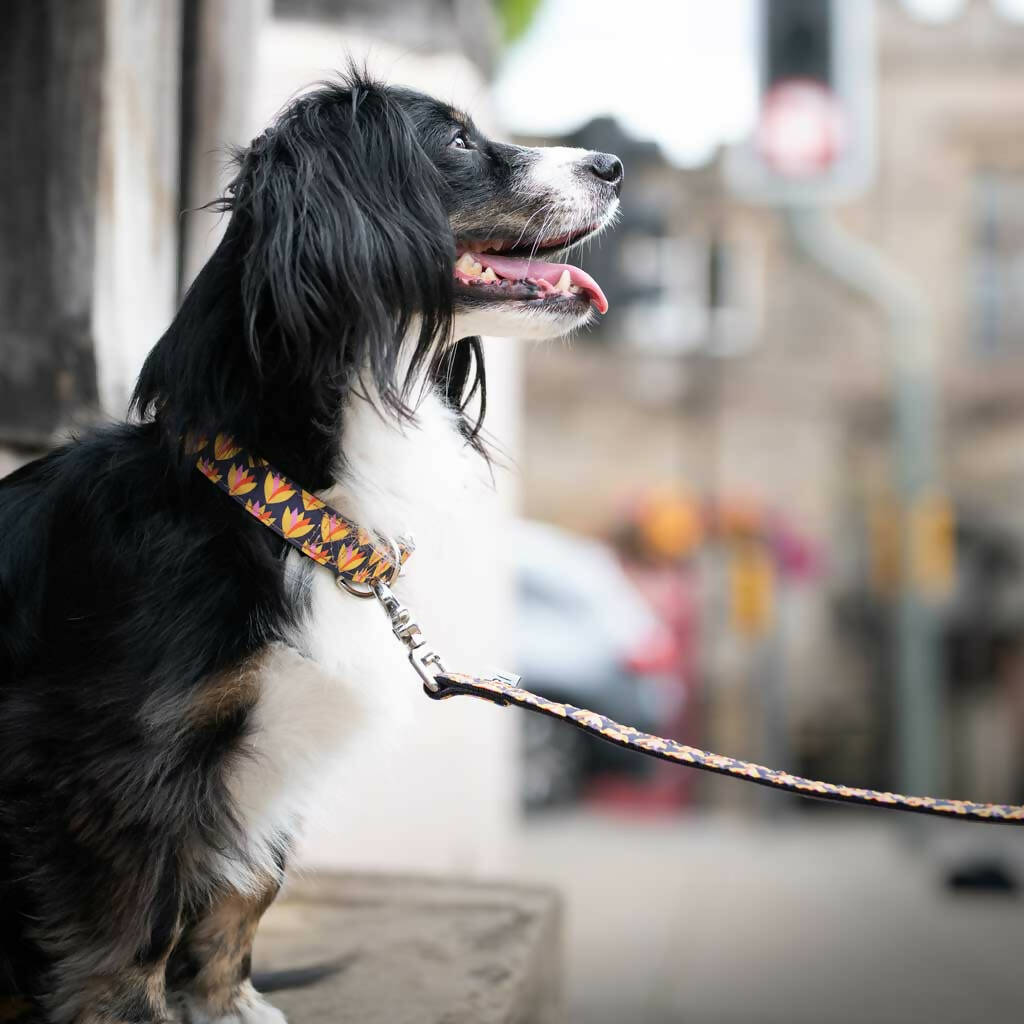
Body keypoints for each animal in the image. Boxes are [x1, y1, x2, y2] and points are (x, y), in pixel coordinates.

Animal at [0, 72, 618, 1024]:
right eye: (457, 142)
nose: (615, 166)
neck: (278, 507)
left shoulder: (275, 760)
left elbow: (244, 891)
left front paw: (227, 1006)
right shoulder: (114, 762)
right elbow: (130, 932)